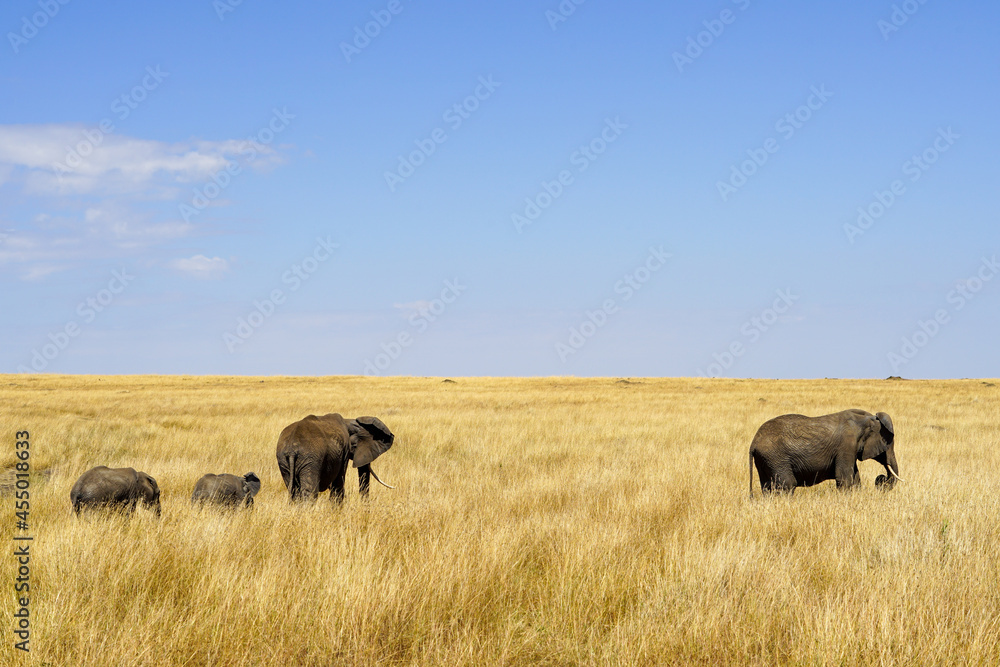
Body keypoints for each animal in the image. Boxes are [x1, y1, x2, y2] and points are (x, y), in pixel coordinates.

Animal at [748, 410, 904, 498]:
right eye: (887, 444)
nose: (880, 480)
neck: (865, 420)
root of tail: (753, 442)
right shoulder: (846, 446)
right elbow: (845, 479)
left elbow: (855, 478)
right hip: (776, 457)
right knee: (788, 484)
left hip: (766, 460)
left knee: (767, 486)